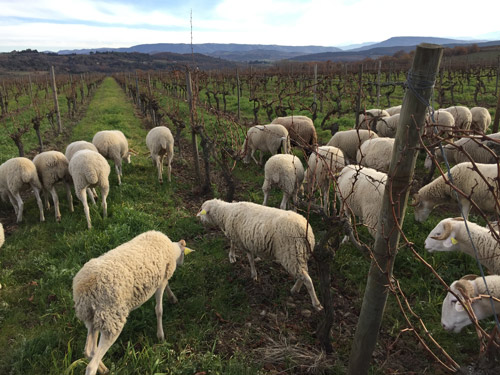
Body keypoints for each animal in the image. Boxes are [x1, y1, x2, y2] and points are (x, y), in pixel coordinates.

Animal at [73, 231, 194, 375]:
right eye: (184, 254)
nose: (182, 263)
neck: (172, 249)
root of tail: (83, 287)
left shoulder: (161, 279)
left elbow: (167, 289)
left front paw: (172, 298)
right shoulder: (161, 280)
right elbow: (159, 310)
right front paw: (161, 336)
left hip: (93, 318)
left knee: (89, 351)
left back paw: (104, 369)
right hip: (111, 319)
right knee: (92, 365)